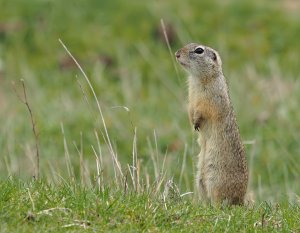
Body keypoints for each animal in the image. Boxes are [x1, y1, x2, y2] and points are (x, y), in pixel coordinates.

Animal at [176, 42, 248, 205]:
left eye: (199, 50)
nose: (177, 54)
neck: (198, 79)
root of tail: (240, 201)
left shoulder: (211, 98)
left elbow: (204, 110)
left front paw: (196, 122)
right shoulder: (191, 97)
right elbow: (190, 108)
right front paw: (192, 122)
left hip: (215, 180)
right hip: (200, 180)